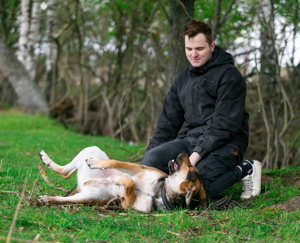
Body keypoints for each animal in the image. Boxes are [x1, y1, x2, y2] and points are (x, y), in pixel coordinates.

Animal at [37, 146, 206, 213]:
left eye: (189, 165)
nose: (185, 151)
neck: (159, 192)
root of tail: (83, 183)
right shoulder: (138, 168)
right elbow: (115, 163)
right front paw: (98, 164)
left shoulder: (127, 205)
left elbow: (129, 184)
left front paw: (118, 180)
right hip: (91, 149)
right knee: (65, 171)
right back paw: (45, 159)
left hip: (88, 196)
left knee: (64, 190)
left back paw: (47, 199)